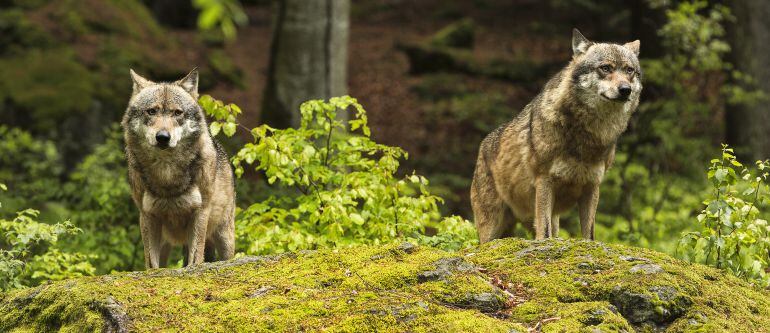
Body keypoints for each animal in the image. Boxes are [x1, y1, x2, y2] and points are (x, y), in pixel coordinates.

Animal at [121, 68, 236, 268]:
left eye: (177, 113)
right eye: (152, 111)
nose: (163, 137)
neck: (166, 172)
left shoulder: (200, 212)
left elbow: (195, 258)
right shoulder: (147, 215)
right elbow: (152, 263)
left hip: (224, 237)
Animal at [468, 28, 640, 241]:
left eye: (629, 70)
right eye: (606, 68)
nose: (625, 90)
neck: (587, 135)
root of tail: (482, 145)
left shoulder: (592, 186)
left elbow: (589, 235)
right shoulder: (544, 181)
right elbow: (545, 233)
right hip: (491, 230)